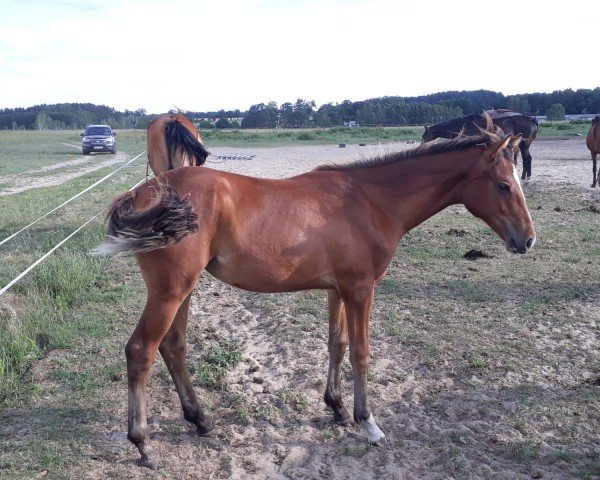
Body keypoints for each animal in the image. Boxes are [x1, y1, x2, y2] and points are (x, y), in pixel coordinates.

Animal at [96, 117, 536, 468]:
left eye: (517, 182)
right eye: (503, 185)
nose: (527, 240)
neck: (370, 201)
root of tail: (144, 193)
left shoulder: (338, 289)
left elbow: (336, 344)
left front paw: (337, 408)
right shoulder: (360, 289)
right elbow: (361, 353)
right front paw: (368, 423)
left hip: (183, 290)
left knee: (173, 347)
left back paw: (201, 421)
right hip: (170, 292)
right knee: (141, 351)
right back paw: (143, 445)